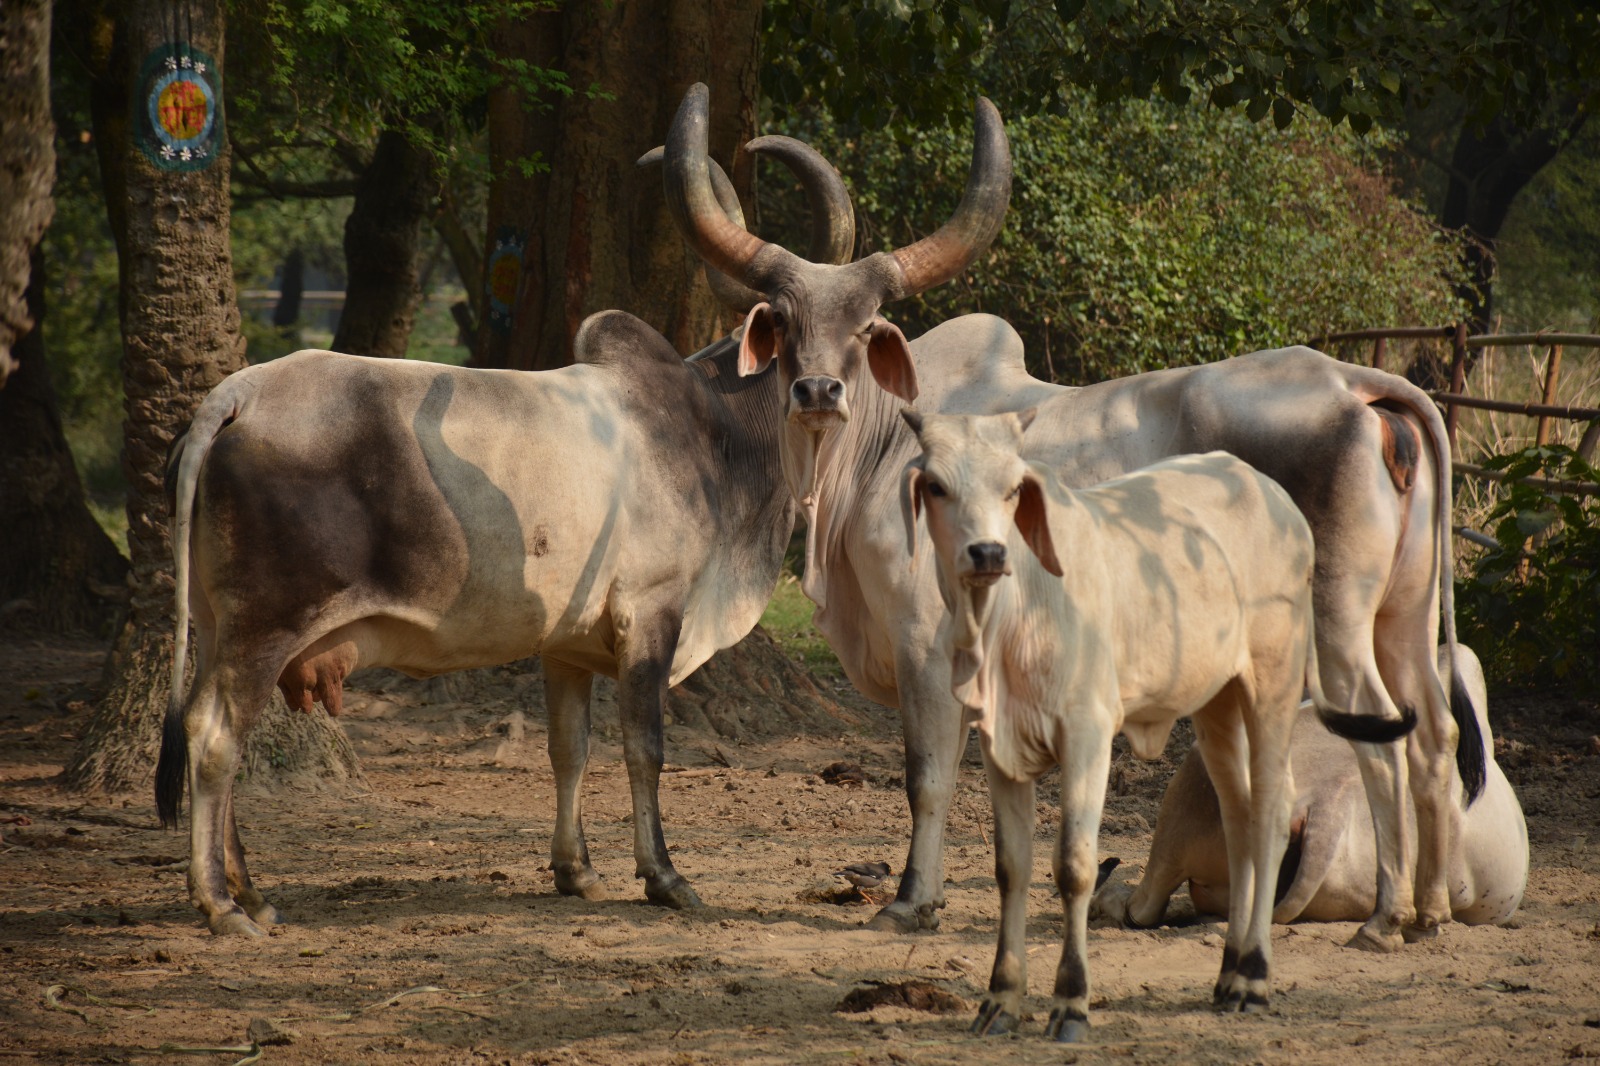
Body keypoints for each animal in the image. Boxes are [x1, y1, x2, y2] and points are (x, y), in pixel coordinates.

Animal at [155, 136, 858, 937]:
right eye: (800, 331)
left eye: (863, 333)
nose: (826, 394)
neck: (713, 430)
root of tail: (235, 395)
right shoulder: (650, 615)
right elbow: (644, 747)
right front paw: (665, 876)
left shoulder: (568, 643)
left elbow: (569, 749)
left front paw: (576, 871)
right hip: (265, 627)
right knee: (214, 736)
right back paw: (220, 904)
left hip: (217, 625)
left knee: (219, 732)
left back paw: (251, 893)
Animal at [661, 82, 1466, 952]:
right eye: (784, 322)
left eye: (864, 328)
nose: (817, 391)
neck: (875, 447)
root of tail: (1358, 384)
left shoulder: (923, 641)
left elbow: (927, 776)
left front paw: (909, 901)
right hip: (1401, 616)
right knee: (1434, 732)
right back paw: (1432, 909)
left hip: (1335, 620)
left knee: (1380, 735)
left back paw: (1385, 918)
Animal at [900, 410, 1411, 1040]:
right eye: (936, 486)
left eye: (1013, 488)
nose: (988, 552)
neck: (1013, 613)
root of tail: (1268, 492)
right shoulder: (1001, 750)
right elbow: (1011, 868)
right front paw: (1000, 1000)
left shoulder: (1088, 736)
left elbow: (1074, 867)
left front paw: (1071, 1002)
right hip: (1216, 707)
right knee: (1239, 817)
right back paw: (1229, 972)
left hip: (1274, 681)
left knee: (1270, 811)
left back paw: (1254, 976)